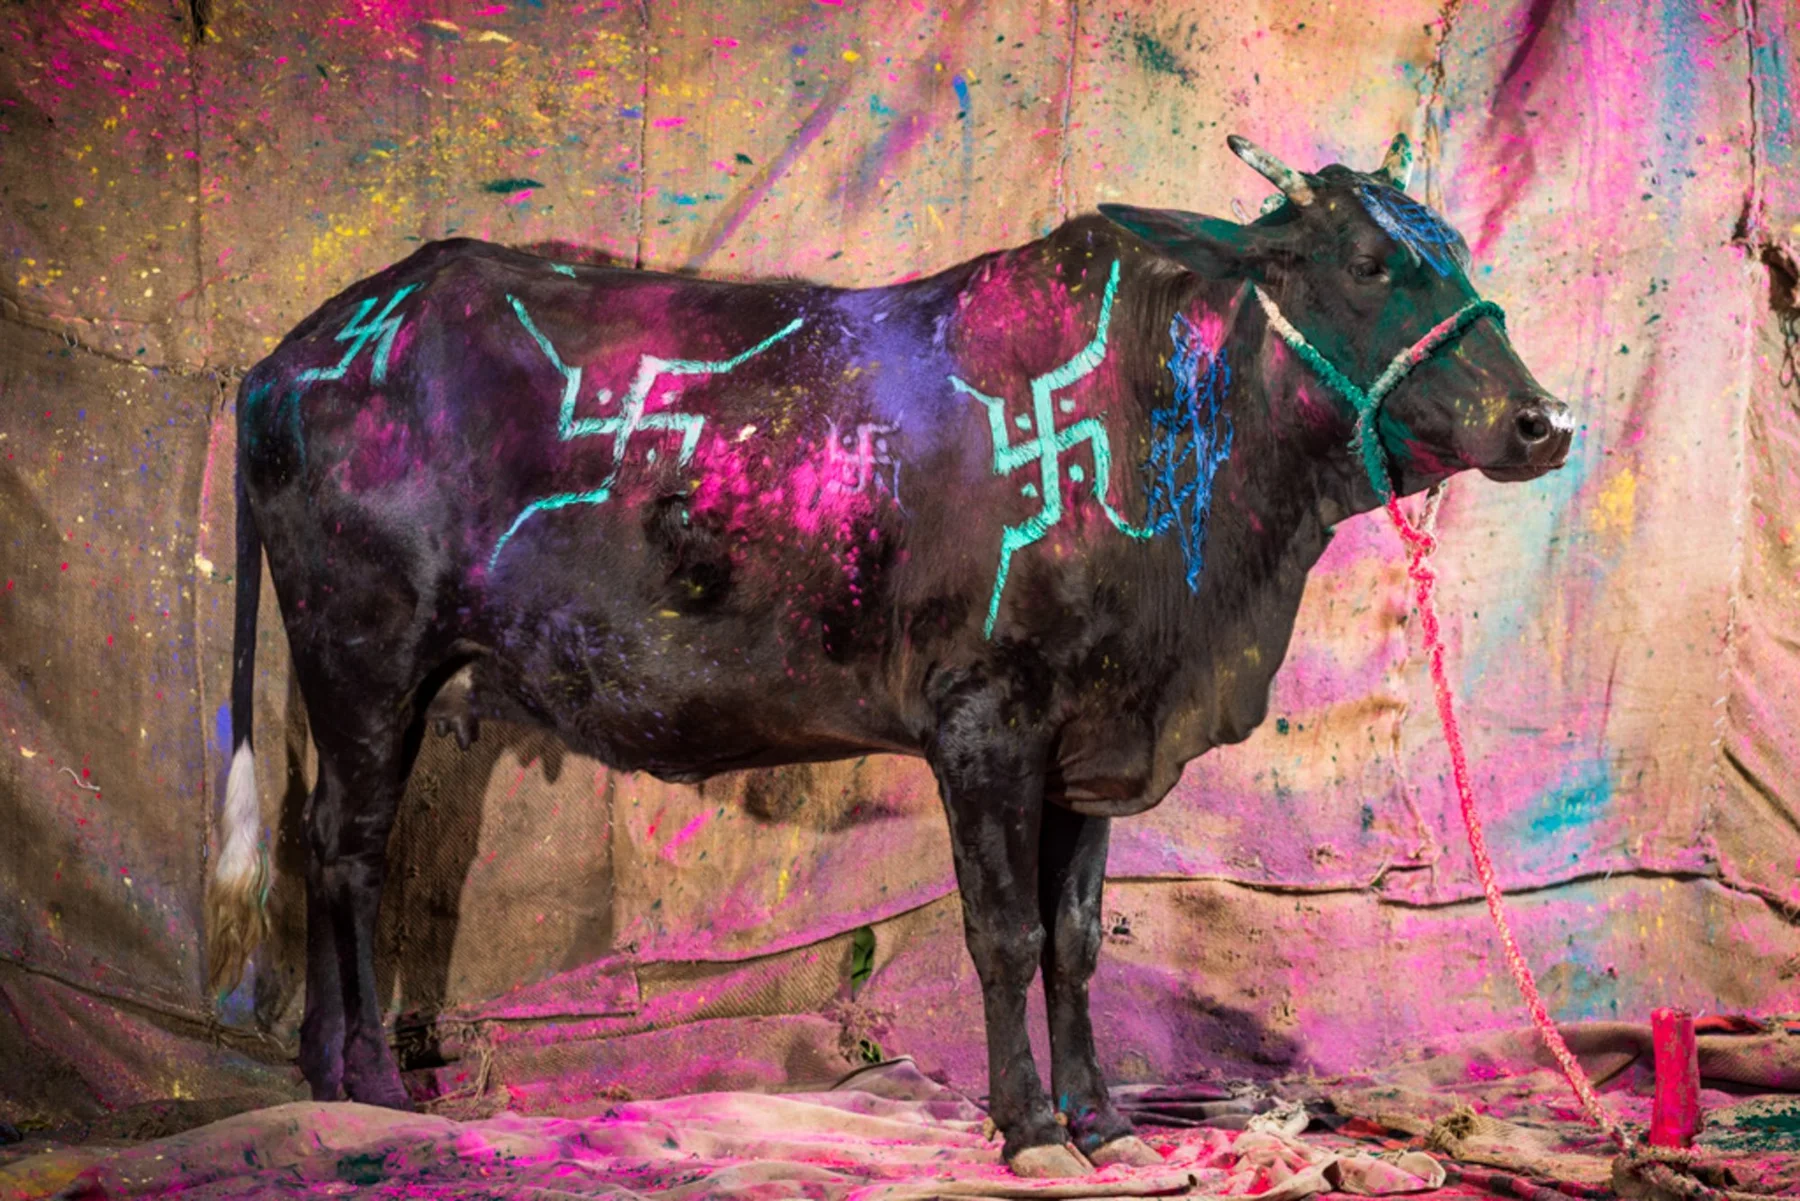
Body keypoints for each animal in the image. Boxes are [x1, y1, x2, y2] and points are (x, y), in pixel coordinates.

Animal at [206, 133, 1570, 1177]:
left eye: (1455, 251)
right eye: (1368, 263)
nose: (1543, 419)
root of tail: (296, 351)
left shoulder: (1092, 740)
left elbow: (1077, 936)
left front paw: (1106, 1120)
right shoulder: (984, 717)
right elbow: (1005, 931)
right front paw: (1032, 1130)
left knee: (328, 842)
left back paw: (324, 1079)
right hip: (365, 649)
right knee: (349, 846)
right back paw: (373, 1081)